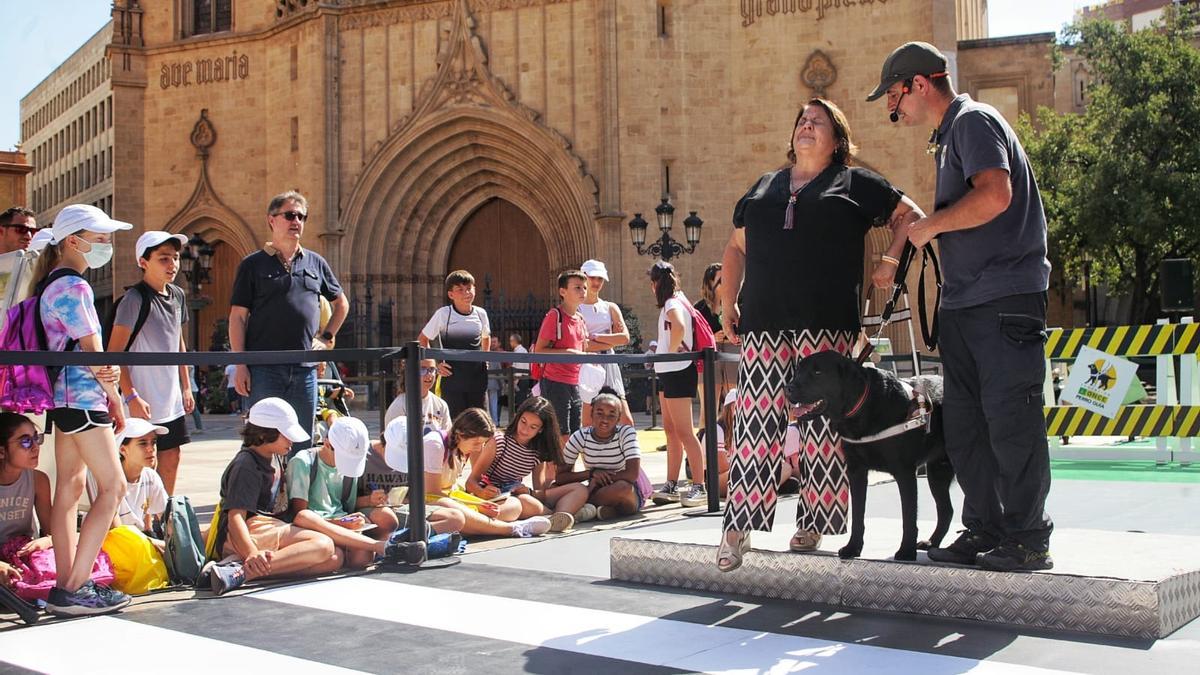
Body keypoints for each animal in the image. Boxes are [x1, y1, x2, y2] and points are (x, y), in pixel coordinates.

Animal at [787, 348, 955, 559]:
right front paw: (853, 547)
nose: (788, 387)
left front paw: (906, 551)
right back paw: (932, 543)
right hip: (937, 471)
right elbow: (858, 515)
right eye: (798, 371)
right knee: (946, 510)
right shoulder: (856, 471)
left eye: (818, 373)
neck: (863, 406)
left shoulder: (904, 471)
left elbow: (908, 516)